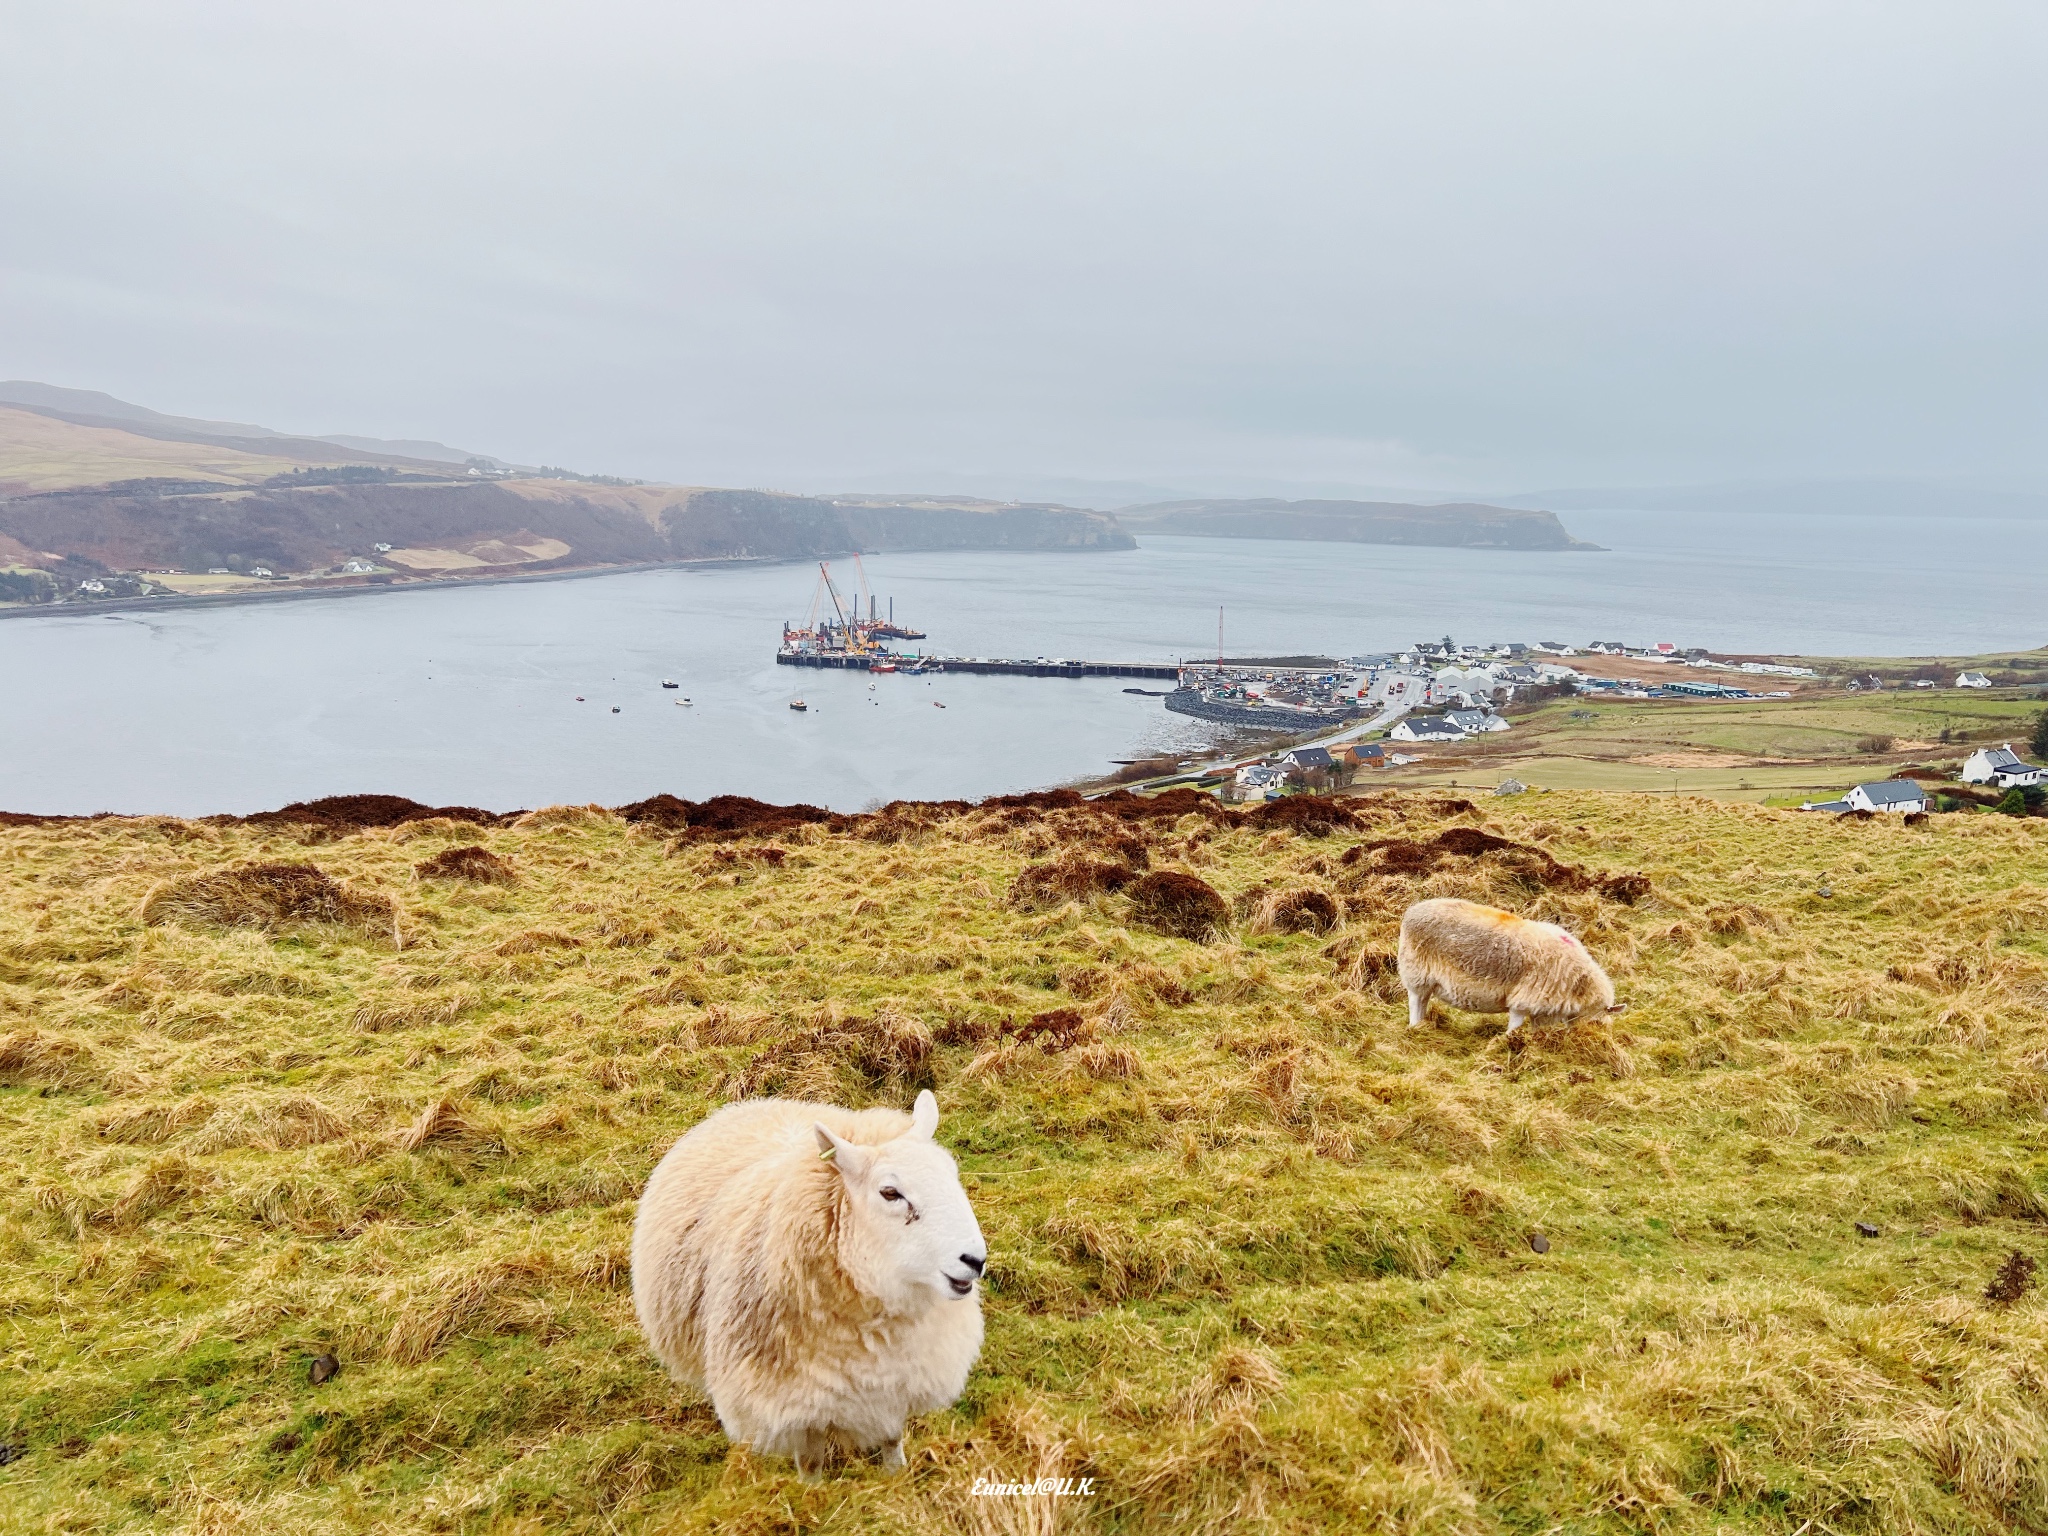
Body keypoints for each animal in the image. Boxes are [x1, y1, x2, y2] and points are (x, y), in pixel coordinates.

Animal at [638, 1089, 991, 1474]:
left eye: (952, 1174)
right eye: (889, 1192)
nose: (975, 1260)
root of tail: (748, 1105)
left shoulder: (896, 1386)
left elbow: (892, 1439)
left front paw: (896, 1476)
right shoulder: (797, 1411)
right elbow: (810, 1467)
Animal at [1400, 897, 1622, 1040]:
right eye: (1598, 1023)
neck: (1577, 984)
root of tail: (1411, 911)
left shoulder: (1541, 1008)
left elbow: (1537, 1031)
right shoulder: (1522, 1001)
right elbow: (1514, 1028)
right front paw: (1509, 1043)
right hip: (1416, 973)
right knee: (1416, 1002)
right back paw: (1416, 1027)